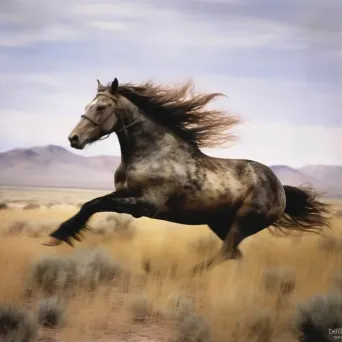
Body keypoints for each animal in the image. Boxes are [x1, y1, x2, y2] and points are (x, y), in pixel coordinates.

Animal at [42, 77, 332, 272]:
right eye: (88, 105)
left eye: (101, 107)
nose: (74, 139)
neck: (153, 152)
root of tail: (281, 188)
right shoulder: (124, 193)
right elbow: (91, 203)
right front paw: (60, 233)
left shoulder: (145, 205)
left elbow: (95, 204)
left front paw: (60, 235)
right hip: (219, 223)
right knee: (234, 254)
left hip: (243, 222)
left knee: (225, 253)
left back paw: (185, 274)